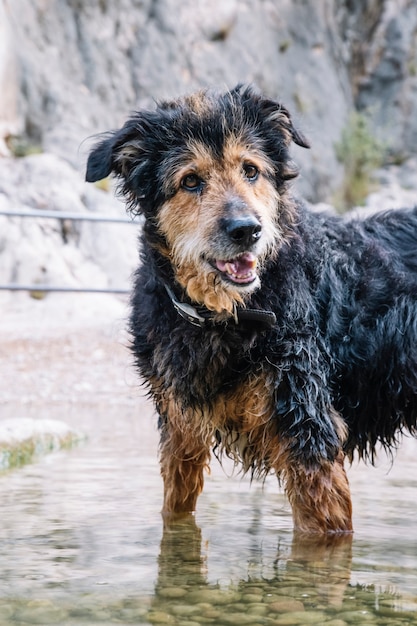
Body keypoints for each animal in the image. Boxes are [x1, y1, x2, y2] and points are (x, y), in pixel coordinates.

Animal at [84, 83, 416, 532]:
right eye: (190, 180)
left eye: (251, 170)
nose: (247, 230)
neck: (221, 315)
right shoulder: (181, 428)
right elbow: (176, 509)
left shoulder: (306, 431)